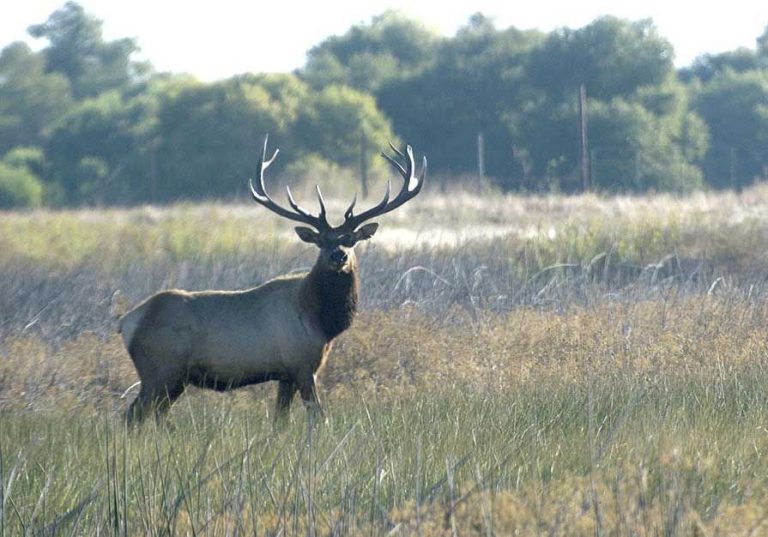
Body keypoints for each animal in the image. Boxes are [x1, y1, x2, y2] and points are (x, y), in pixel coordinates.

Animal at [119, 136, 426, 424]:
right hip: (160, 369)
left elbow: (280, 420)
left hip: (174, 378)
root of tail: (127, 323)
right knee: (133, 415)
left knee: (153, 414)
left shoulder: (285, 374)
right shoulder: (301, 364)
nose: (338, 256)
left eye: (350, 239)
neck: (321, 322)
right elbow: (318, 415)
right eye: (321, 241)